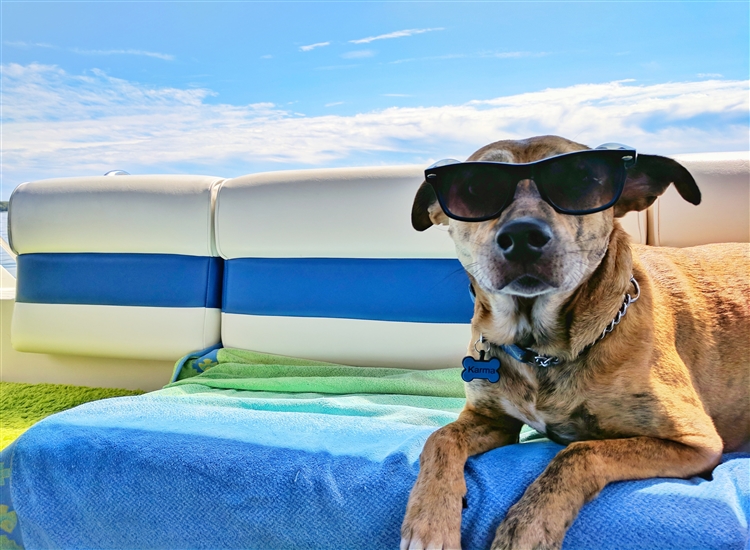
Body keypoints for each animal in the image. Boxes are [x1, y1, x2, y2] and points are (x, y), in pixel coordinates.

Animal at [402, 135, 748, 550]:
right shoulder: (492, 420)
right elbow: (440, 437)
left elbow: (578, 452)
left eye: (580, 179)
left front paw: (526, 528)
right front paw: (428, 520)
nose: (522, 237)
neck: (540, 349)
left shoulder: (695, 441)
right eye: (474, 188)